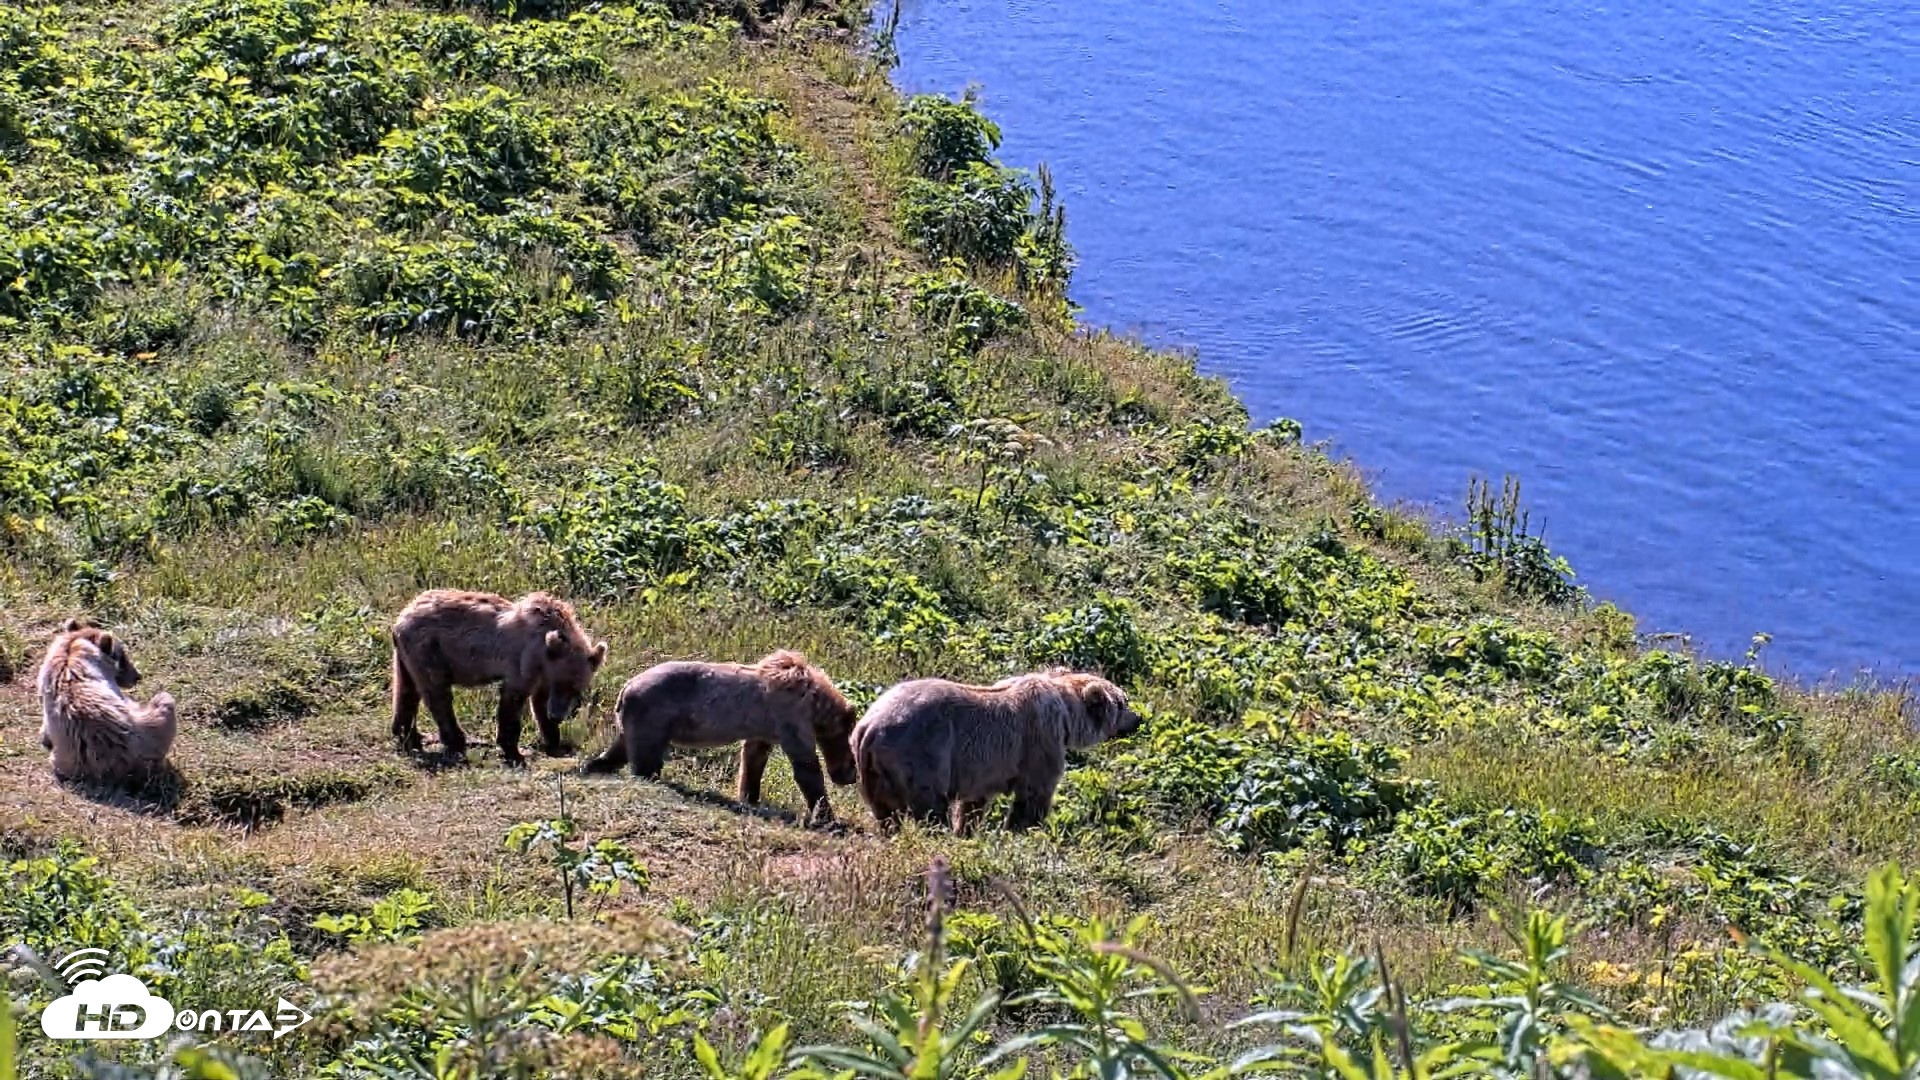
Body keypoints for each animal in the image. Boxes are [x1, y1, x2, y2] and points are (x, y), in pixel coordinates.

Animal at [390, 589, 608, 766]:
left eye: (576, 688)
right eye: (561, 683)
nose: (558, 715)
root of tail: (399, 620)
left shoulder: (543, 673)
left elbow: (539, 702)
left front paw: (554, 739)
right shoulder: (523, 661)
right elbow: (513, 701)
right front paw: (513, 750)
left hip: (406, 656)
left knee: (406, 690)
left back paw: (407, 736)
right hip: (430, 650)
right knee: (437, 694)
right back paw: (455, 741)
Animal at [583, 650, 859, 825]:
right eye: (852, 753)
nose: (851, 777)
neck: (816, 706)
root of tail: (625, 687)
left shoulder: (765, 727)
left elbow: (754, 757)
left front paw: (749, 795)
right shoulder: (790, 717)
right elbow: (805, 766)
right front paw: (827, 815)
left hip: (635, 720)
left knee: (620, 749)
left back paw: (594, 765)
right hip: (654, 713)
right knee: (645, 756)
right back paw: (646, 776)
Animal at [851, 667, 1141, 835]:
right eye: (1123, 702)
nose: (1138, 719)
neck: (1067, 715)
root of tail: (869, 727)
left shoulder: (982, 768)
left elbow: (974, 802)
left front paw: (967, 830)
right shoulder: (1040, 739)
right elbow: (1035, 791)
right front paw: (1024, 829)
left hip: (873, 770)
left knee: (885, 811)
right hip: (922, 752)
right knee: (930, 804)